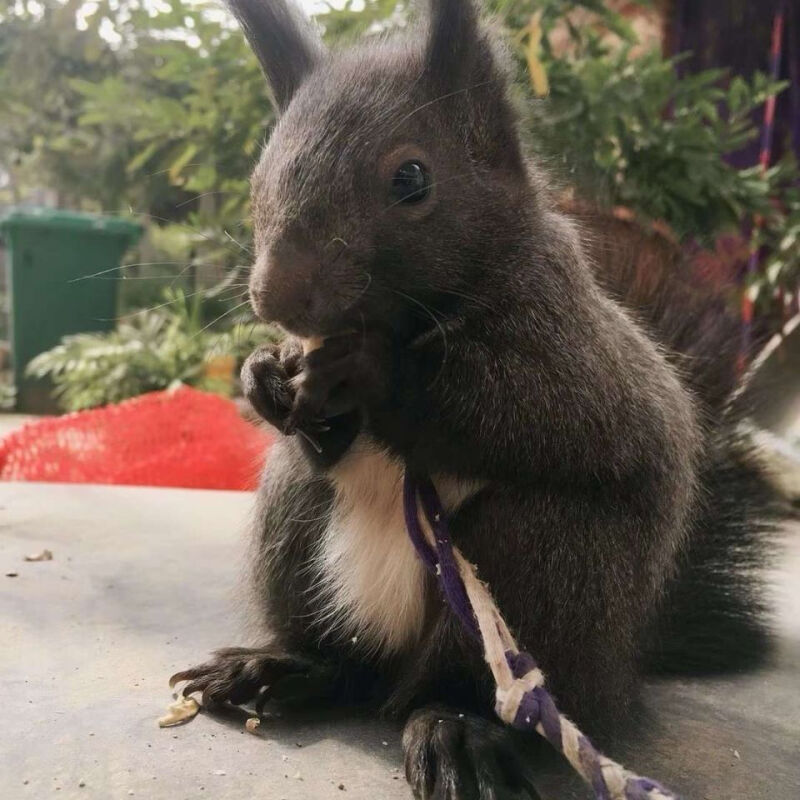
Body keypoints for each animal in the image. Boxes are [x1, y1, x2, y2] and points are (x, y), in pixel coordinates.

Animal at [173, 3, 780, 796]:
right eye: (259, 174)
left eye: (412, 178)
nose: (275, 298)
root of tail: (620, 666)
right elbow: (318, 428)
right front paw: (264, 374)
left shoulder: (569, 343)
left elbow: (527, 411)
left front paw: (371, 370)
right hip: (294, 522)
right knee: (344, 657)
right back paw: (279, 668)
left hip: (544, 563)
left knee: (457, 685)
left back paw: (455, 731)